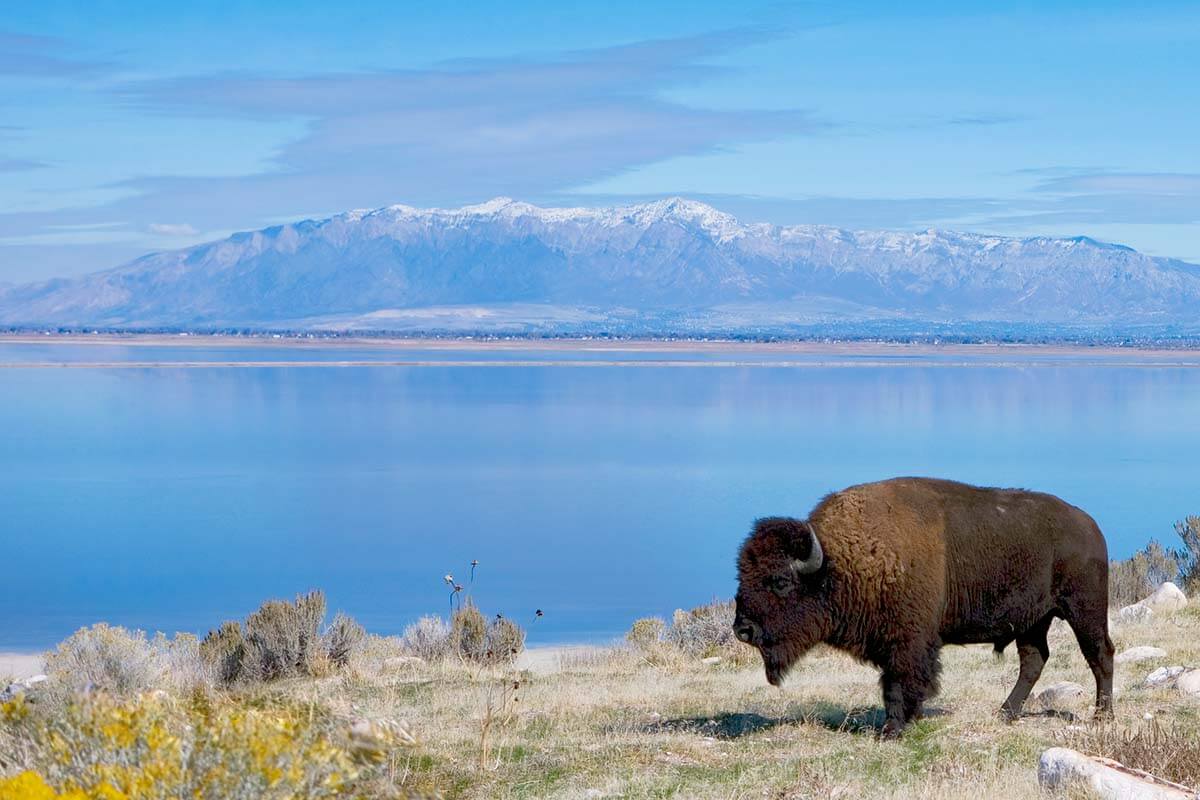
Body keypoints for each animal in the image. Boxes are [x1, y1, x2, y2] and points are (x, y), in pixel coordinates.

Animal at [729, 479, 1113, 734]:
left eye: (780, 581)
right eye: (742, 574)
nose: (742, 629)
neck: (839, 563)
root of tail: (1090, 526)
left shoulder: (908, 642)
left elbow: (900, 682)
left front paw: (893, 730)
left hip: (1084, 610)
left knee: (1100, 654)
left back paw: (1102, 716)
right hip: (1033, 621)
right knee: (1034, 661)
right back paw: (1005, 713)